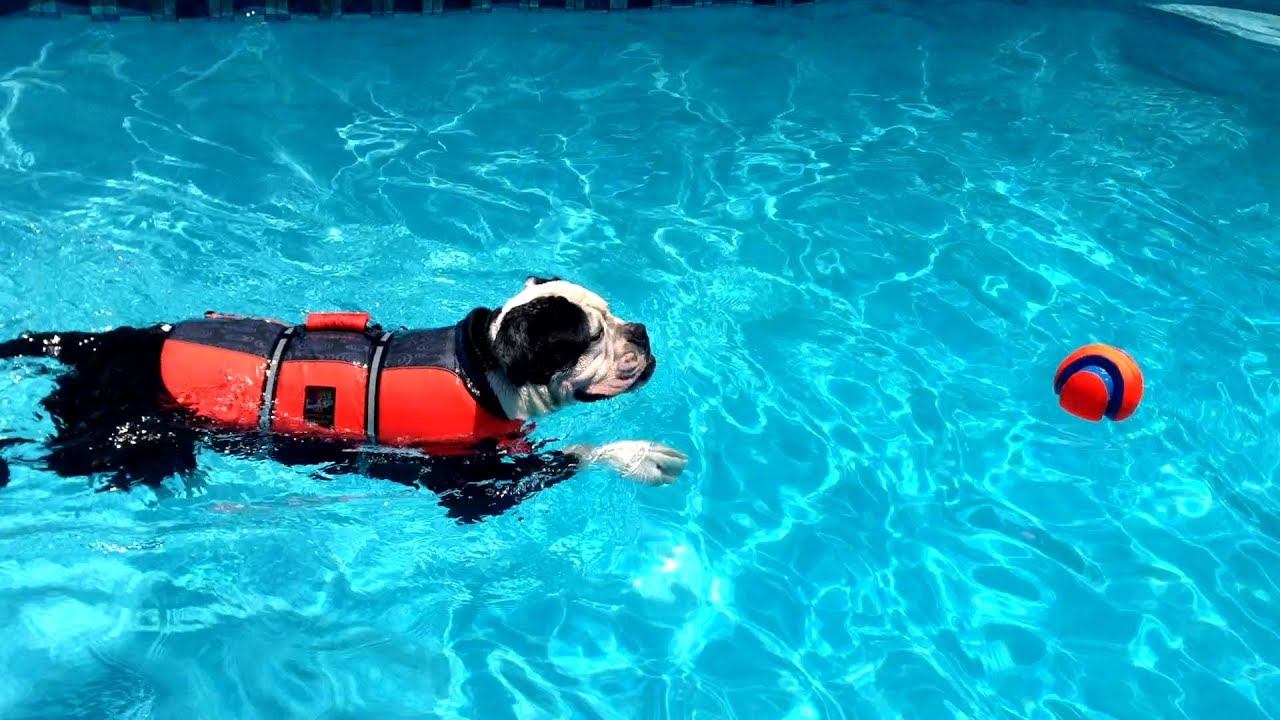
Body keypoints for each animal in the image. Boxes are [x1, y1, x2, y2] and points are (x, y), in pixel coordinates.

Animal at [0, 275, 691, 520]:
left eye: (613, 315)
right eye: (588, 338)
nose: (640, 331)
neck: (487, 365)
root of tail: (100, 343)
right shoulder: (471, 486)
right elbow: (575, 453)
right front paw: (639, 455)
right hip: (118, 433)